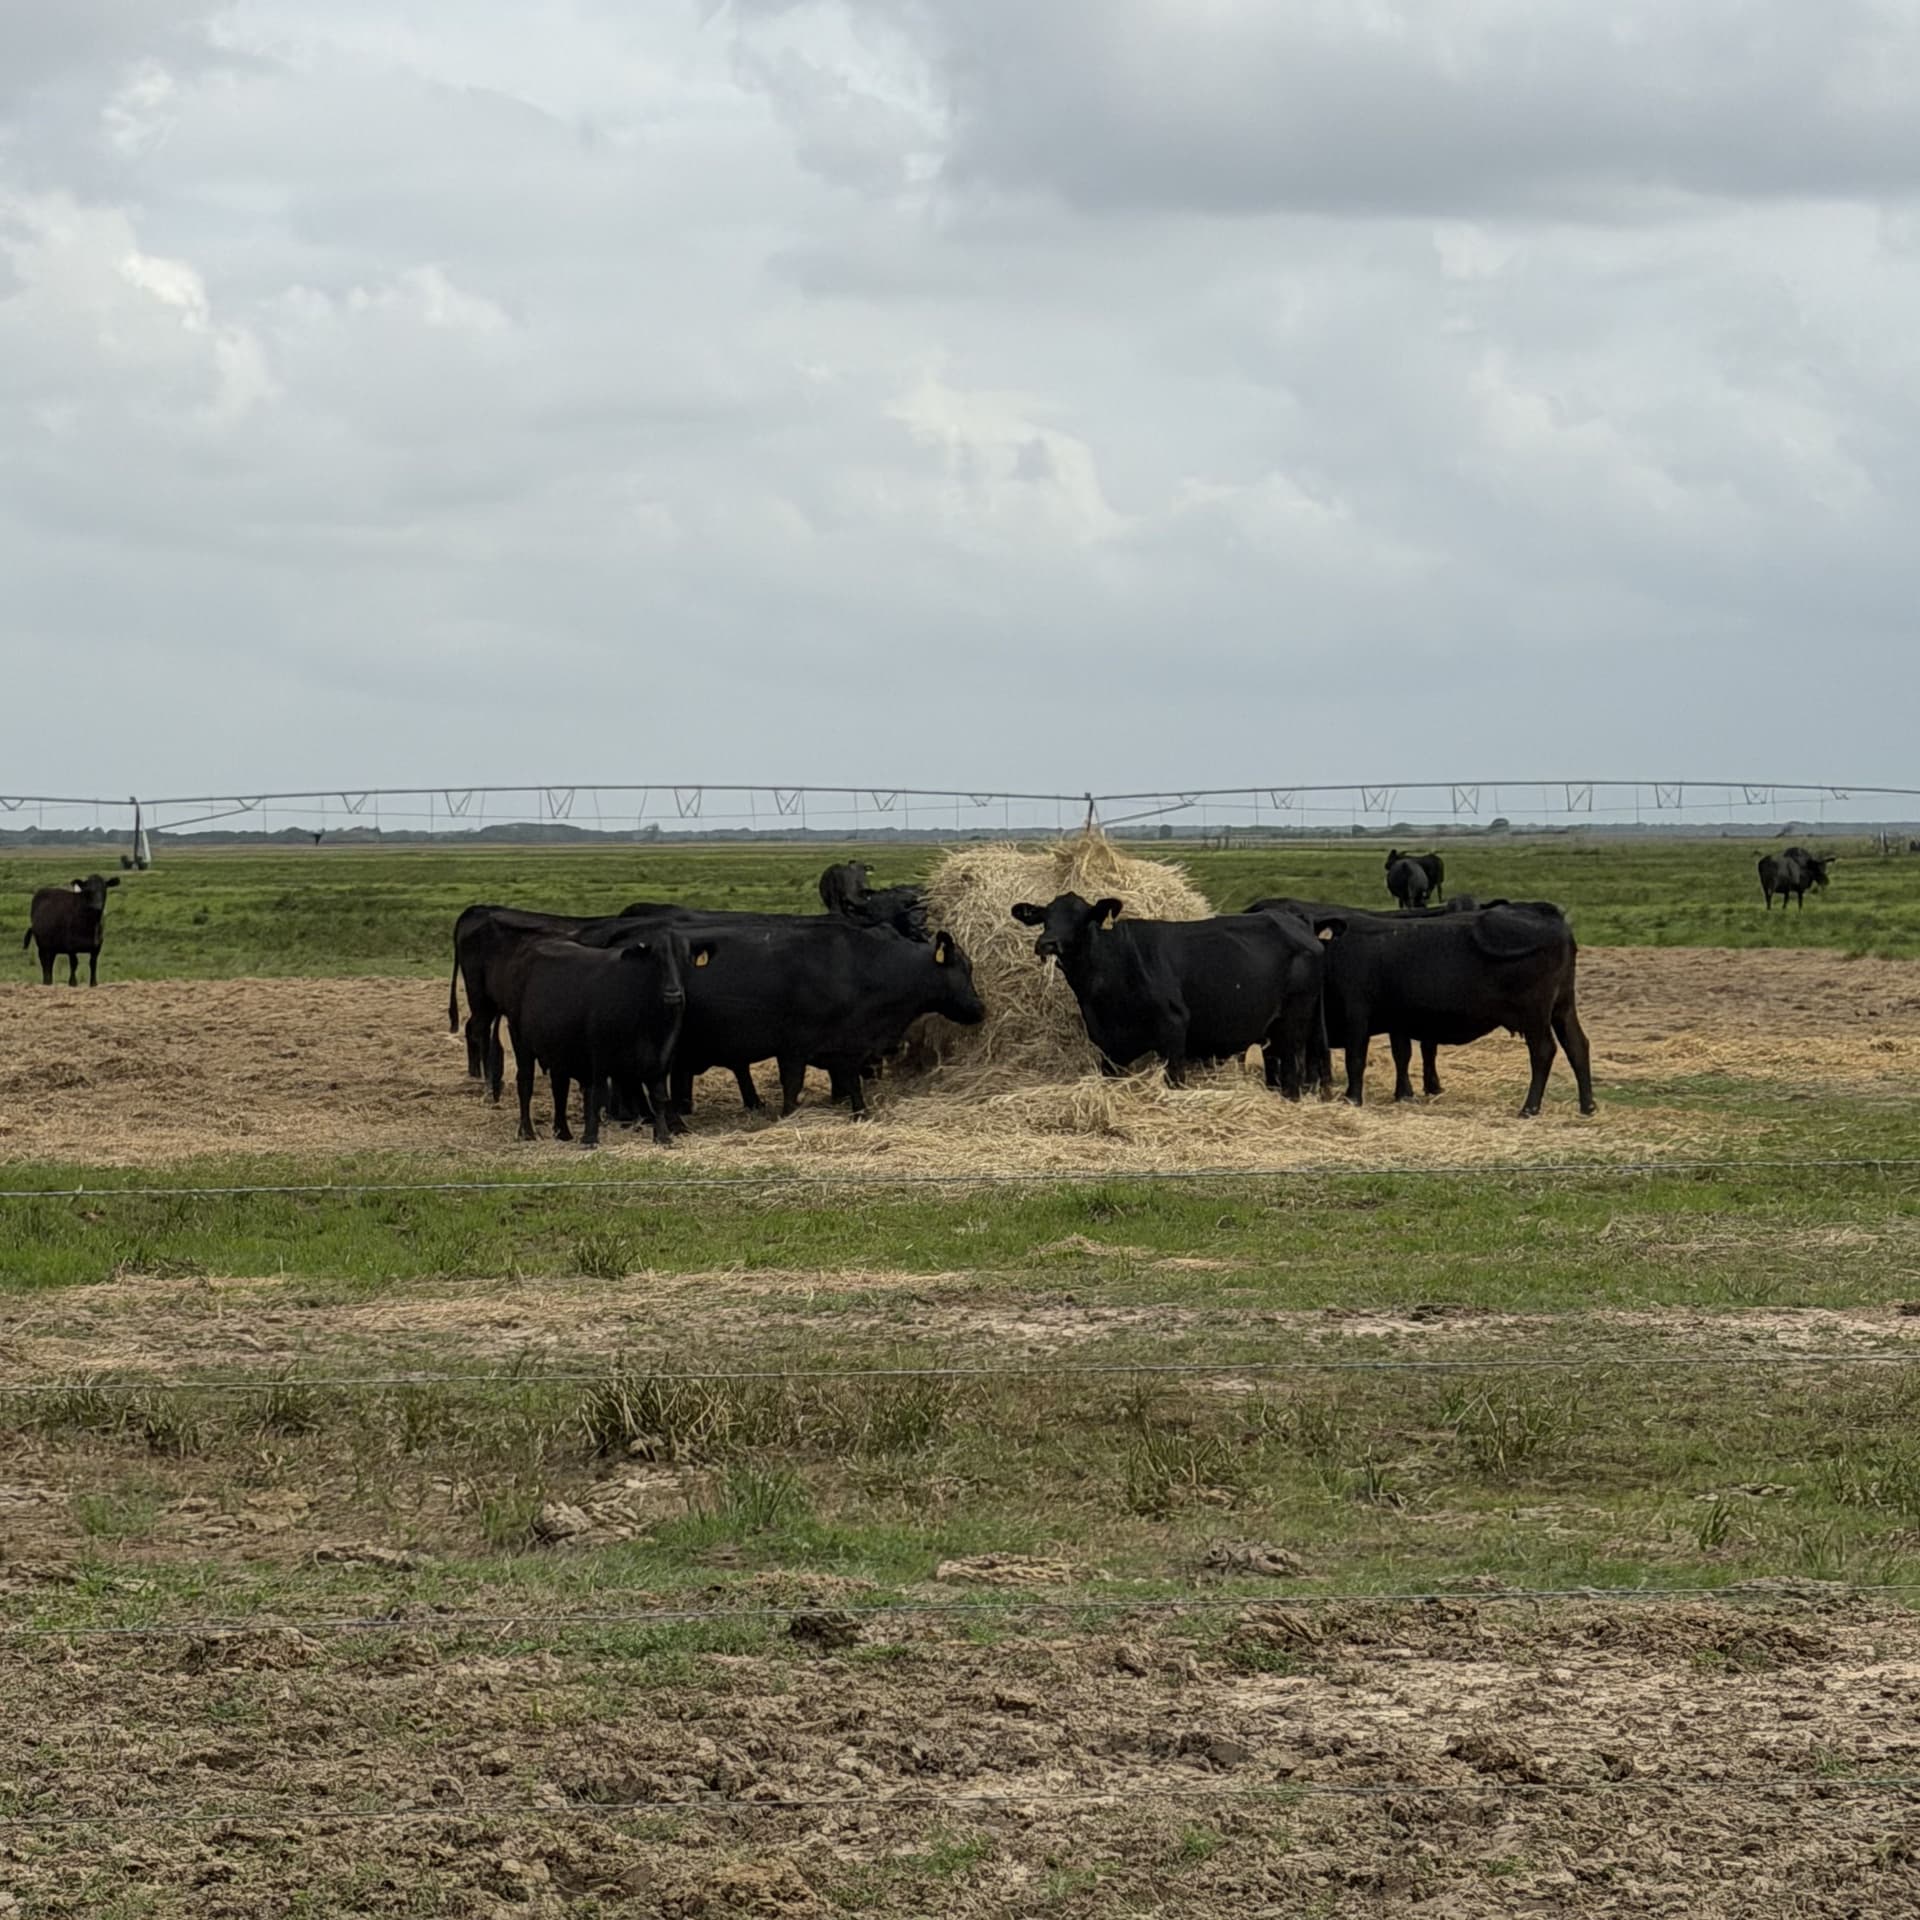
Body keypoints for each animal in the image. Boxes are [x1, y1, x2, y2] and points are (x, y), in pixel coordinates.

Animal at [503, 930, 711, 1148]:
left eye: (686, 960)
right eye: (656, 959)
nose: (673, 994)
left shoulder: (661, 1057)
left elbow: (659, 1096)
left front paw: (662, 1137)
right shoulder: (599, 1056)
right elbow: (597, 1095)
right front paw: (590, 1137)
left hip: (558, 1049)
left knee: (560, 1088)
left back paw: (563, 1132)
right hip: (520, 1040)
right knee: (525, 1083)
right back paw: (527, 1131)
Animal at [1008, 894, 1334, 1100]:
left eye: (1081, 918)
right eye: (1045, 918)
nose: (1047, 943)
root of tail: (1299, 925)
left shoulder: (1174, 1028)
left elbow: (1174, 1079)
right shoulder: (1108, 1045)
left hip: (1293, 1024)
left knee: (1292, 1073)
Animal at [1251, 897, 1593, 1116]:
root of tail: (1547, 914)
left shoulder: (1356, 1013)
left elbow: (1354, 1059)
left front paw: (1352, 1098)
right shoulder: (1396, 1019)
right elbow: (1401, 1055)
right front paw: (1404, 1094)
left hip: (1535, 1015)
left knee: (1544, 1051)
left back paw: (1530, 1108)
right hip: (1563, 1007)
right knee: (1577, 1045)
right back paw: (1587, 1105)